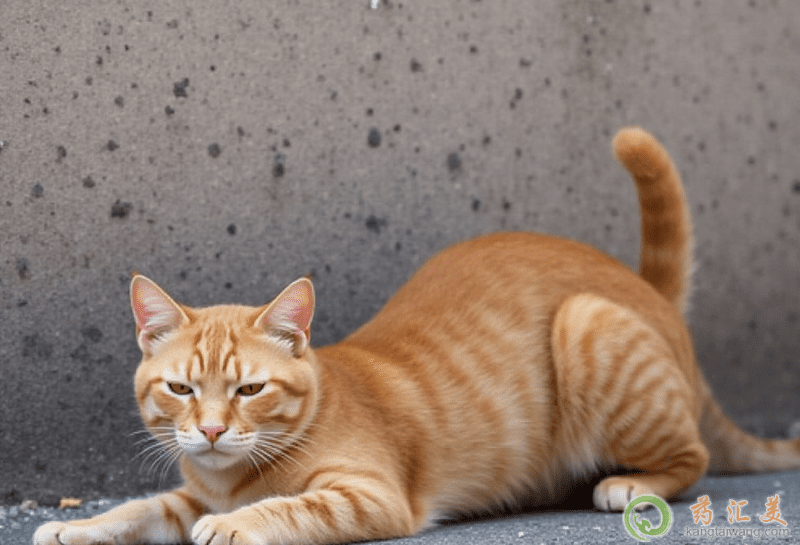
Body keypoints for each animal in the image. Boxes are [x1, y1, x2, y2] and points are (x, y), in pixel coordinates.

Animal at [34, 127, 800, 545]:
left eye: (249, 389)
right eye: (181, 388)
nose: (215, 431)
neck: (231, 477)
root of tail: (643, 289)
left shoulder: (368, 495)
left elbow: (292, 507)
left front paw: (241, 522)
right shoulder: (186, 493)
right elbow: (140, 507)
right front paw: (77, 525)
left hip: (589, 324)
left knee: (695, 457)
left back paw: (630, 483)